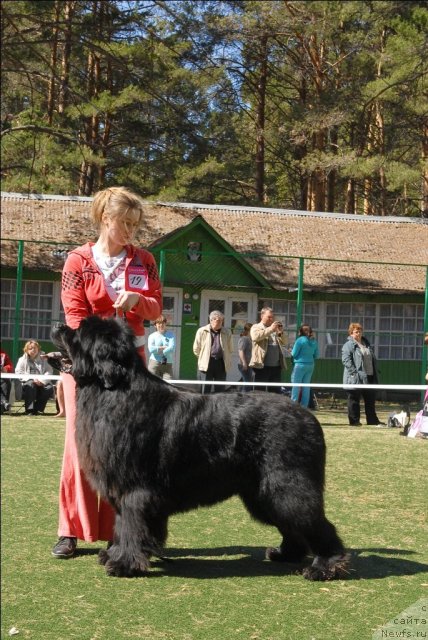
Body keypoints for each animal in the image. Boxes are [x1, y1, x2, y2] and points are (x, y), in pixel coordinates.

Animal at [51, 316, 350, 580]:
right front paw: (114, 555)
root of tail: (308, 417)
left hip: (286, 485)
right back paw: (286, 554)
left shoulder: (134, 490)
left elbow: (131, 526)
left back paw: (326, 566)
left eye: (79, 332)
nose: (58, 326)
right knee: (292, 526)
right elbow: (123, 525)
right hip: (262, 493)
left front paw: (124, 563)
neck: (113, 391)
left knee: (315, 523)